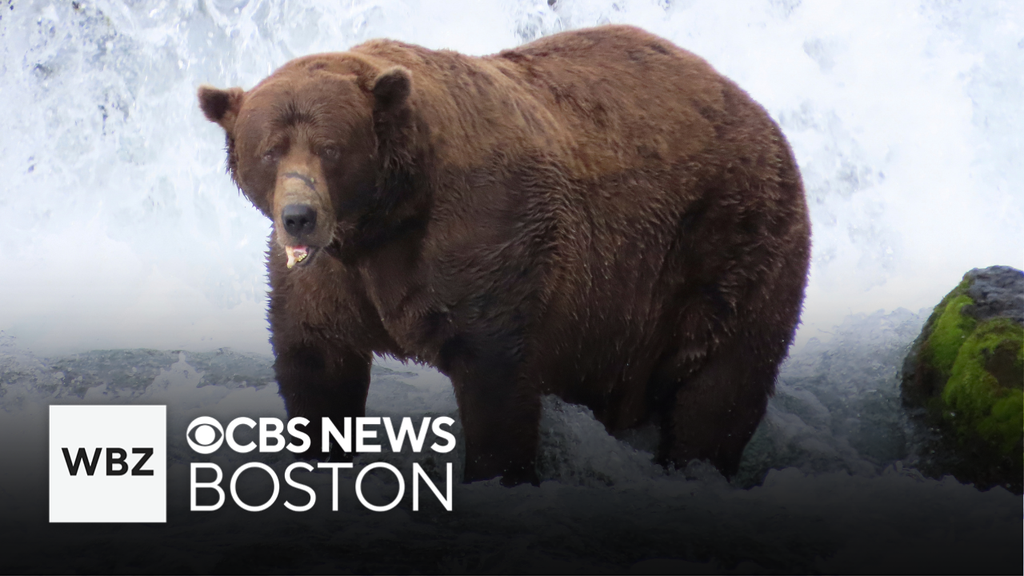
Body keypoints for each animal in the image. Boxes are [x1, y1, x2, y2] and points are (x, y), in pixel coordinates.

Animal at [198, 24, 811, 485]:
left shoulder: (486, 237)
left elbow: (495, 373)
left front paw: (495, 474)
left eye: (330, 148)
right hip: (622, 313)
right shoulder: (328, 278)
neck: (384, 220)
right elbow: (316, 361)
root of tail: (757, 111)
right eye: (270, 150)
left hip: (727, 244)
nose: (299, 215)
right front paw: (319, 459)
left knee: (721, 383)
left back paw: (696, 464)